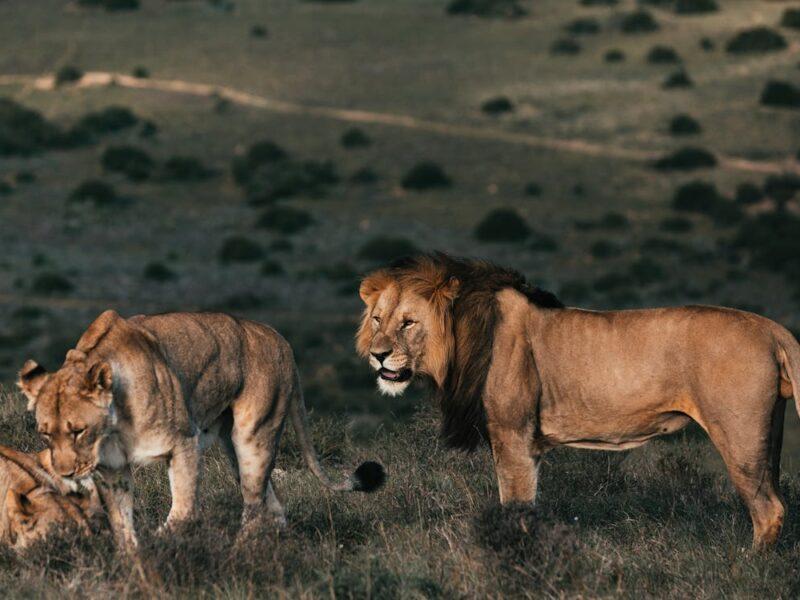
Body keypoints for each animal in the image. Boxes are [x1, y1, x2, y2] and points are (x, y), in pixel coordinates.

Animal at [18, 310, 385, 550]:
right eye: (45, 434)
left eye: (78, 431)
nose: (65, 473)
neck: (114, 425)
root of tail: (281, 340)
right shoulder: (112, 469)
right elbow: (122, 525)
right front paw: (133, 565)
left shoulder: (184, 443)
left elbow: (183, 511)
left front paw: (161, 543)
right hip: (235, 448)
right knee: (273, 502)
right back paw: (281, 548)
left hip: (253, 435)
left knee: (253, 505)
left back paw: (242, 552)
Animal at [357, 253, 800, 549]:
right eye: (377, 319)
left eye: (408, 323)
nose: (378, 355)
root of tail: (773, 328)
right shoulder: (527, 445)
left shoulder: (513, 436)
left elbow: (514, 505)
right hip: (769, 435)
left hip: (738, 436)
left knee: (769, 510)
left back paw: (748, 565)